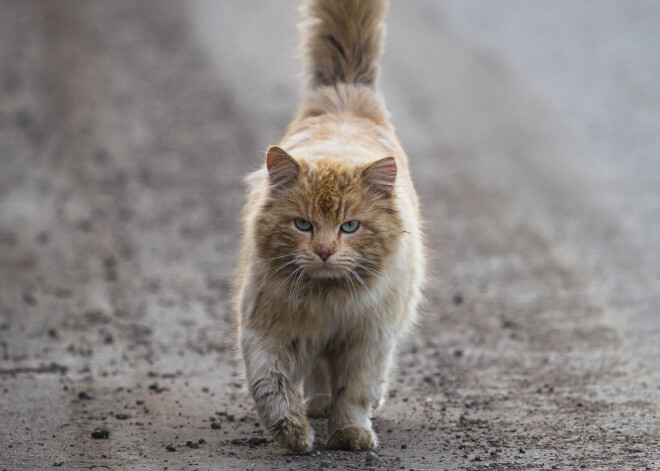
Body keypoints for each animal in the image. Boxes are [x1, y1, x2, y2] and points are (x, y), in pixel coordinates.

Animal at [235, 0, 426, 454]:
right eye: (303, 225)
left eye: (350, 226)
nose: (323, 251)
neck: (327, 302)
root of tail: (346, 95)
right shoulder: (266, 333)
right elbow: (273, 387)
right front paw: (294, 434)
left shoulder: (368, 341)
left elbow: (355, 392)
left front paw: (351, 434)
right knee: (319, 375)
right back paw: (318, 405)